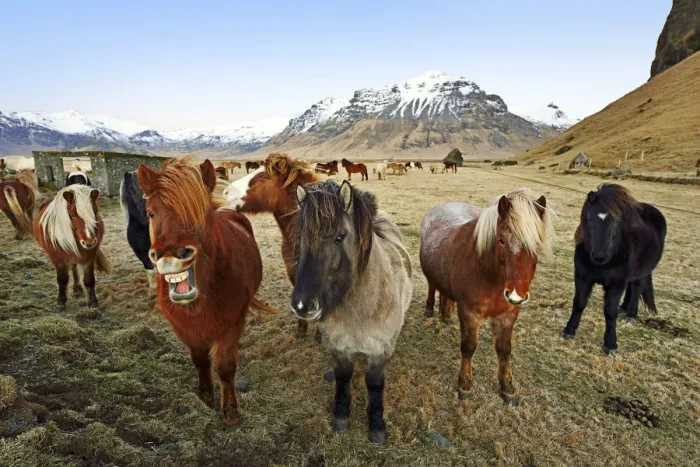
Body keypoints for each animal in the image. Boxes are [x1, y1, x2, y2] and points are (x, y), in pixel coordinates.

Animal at [137, 157, 276, 426]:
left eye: (200, 212)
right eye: (151, 212)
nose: (170, 258)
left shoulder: (230, 328)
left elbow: (225, 368)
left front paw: (230, 411)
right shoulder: (185, 330)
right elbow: (200, 361)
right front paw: (205, 394)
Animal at [291, 180, 412, 444]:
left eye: (339, 237)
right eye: (302, 237)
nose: (302, 305)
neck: (360, 312)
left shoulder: (379, 352)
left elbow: (375, 386)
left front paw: (376, 425)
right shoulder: (339, 349)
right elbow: (343, 380)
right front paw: (340, 415)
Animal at [419, 188, 554, 404]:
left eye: (536, 243)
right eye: (501, 240)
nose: (516, 294)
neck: (488, 273)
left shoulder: (508, 314)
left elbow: (504, 349)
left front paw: (507, 387)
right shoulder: (469, 313)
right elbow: (468, 346)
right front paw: (465, 384)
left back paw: (446, 315)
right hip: (430, 275)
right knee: (432, 286)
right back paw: (430, 310)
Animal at [564, 184, 666, 355]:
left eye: (617, 221)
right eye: (589, 218)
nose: (599, 256)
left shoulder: (616, 284)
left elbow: (610, 312)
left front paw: (610, 344)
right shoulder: (582, 277)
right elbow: (579, 303)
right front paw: (569, 330)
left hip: (642, 271)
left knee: (637, 286)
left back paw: (631, 314)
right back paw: (624, 308)